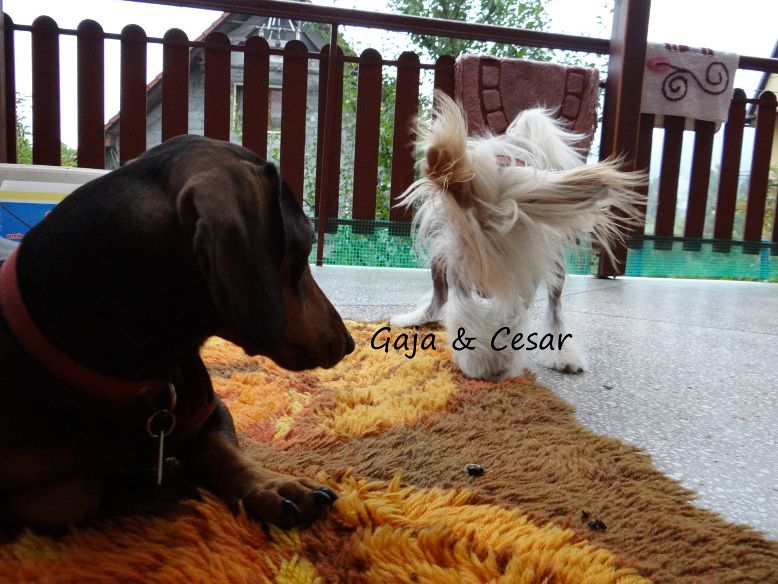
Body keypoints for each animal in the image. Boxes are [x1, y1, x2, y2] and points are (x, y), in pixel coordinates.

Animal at [0, 135, 355, 531]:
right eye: (305, 246)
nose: (350, 342)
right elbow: (71, 498)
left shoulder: (212, 409)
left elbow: (222, 450)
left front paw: (276, 486)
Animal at [390, 92, 643, 381]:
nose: (484, 286)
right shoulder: (457, 269)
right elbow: (464, 308)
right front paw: (480, 361)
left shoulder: (526, 276)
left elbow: (513, 315)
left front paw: (499, 359)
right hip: (440, 265)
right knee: (438, 296)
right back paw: (416, 318)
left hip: (555, 270)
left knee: (555, 308)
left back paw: (563, 356)